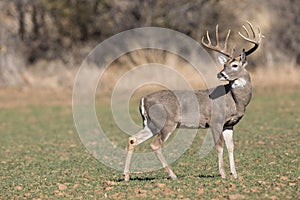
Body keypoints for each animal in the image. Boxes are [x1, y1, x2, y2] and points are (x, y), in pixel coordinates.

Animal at [123, 21, 262, 180]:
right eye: (224, 65)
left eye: (234, 65)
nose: (220, 74)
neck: (234, 101)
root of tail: (143, 99)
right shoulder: (215, 121)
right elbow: (219, 146)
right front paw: (223, 174)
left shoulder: (229, 124)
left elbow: (231, 147)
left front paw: (235, 174)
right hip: (167, 122)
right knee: (155, 145)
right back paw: (173, 175)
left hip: (151, 123)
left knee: (133, 139)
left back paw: (126, 176)